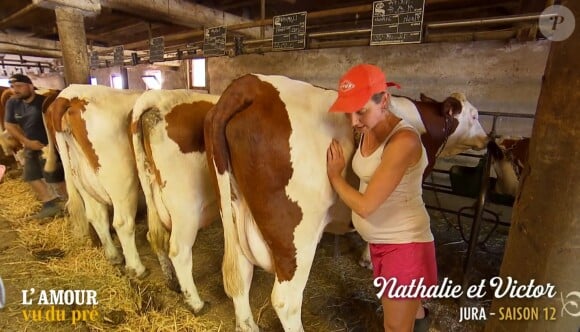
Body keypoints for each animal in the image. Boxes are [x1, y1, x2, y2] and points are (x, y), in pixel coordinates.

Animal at [44, 84, 146, 276]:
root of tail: (69, 95)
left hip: (82, 179)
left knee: (96, 216)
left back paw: (113, 256)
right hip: (122, 182)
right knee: (122, 222)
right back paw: (136, 268)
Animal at [131, 89, 220, 312]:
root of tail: (158, 98)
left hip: (153, 194)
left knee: (154, 237)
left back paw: (172, 282)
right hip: (185, 207)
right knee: (179, 251)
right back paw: (196, 303)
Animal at [204, 74, 490, 330]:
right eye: (475, 116)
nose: (487, 140)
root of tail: (250, 85)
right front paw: (368, 258)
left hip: (233, 210)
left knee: (240, 276)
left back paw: (248, 325)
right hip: (297, 234)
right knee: (286, 300)